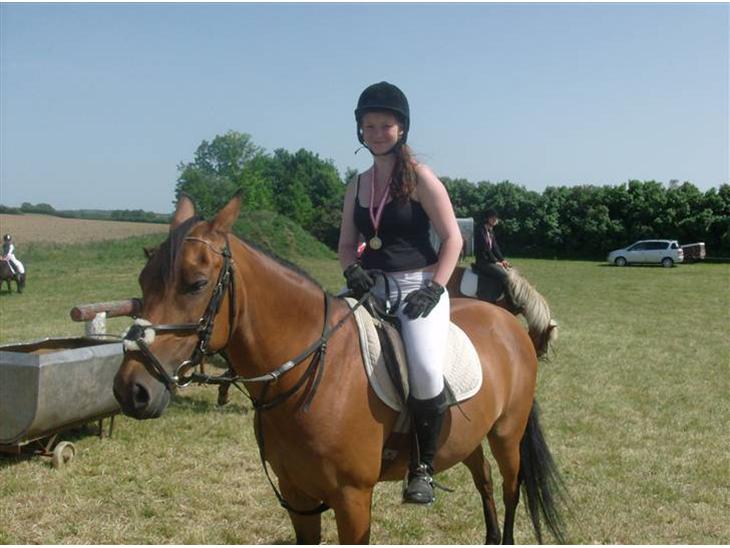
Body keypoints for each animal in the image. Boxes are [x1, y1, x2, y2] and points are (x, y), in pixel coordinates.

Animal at [113, 194, 567, 544]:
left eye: (196, 283)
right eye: (142, 280)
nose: (131, 390)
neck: (313, 374)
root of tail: (507, 322)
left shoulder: (352, 499)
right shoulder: (297, 495)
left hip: (507, 434)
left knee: (510, 489)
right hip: (467, 436)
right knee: (484, 480)